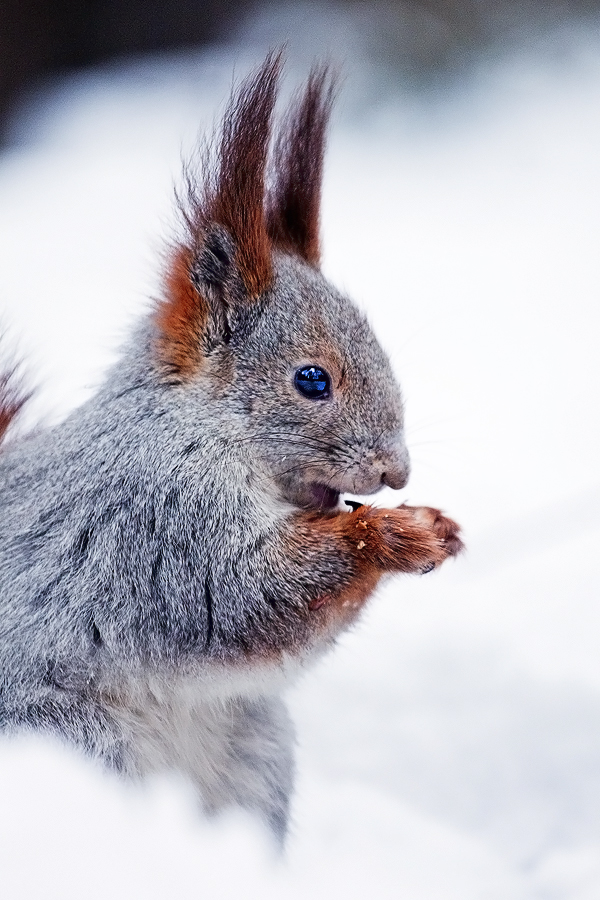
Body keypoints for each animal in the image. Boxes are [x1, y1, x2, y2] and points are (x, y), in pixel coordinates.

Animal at [0, 52, 464, 840]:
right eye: (311, 380)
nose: (396, 473)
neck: (201, 430)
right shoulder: (153, 523)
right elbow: (241, 600)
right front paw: (394, 535)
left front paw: (432, 526)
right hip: (74, 737)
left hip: (255, 754)